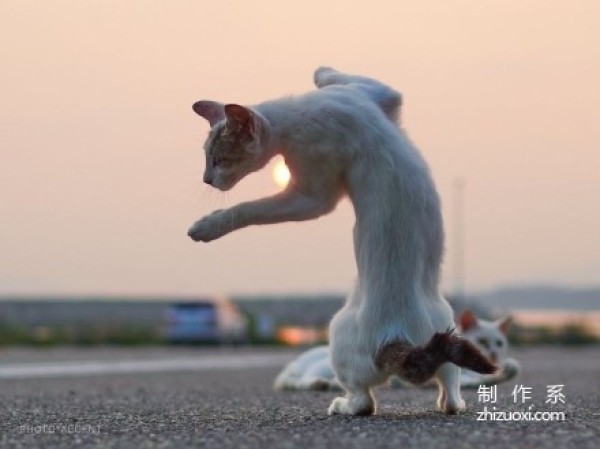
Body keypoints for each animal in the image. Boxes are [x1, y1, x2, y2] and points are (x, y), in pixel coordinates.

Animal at [190, 67, 494, 416]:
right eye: (206, 157)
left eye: (219, 160)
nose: (206, 179)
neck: (299, 112)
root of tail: (398, 335)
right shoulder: (377, 93)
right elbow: (354, 80)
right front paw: (323, 72)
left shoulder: (312, 196)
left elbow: (250, 209)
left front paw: (206, 226)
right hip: (447, 327)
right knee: (450, 382)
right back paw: (450, 402)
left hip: (337, 333)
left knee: (364, 401)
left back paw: (341, 405)